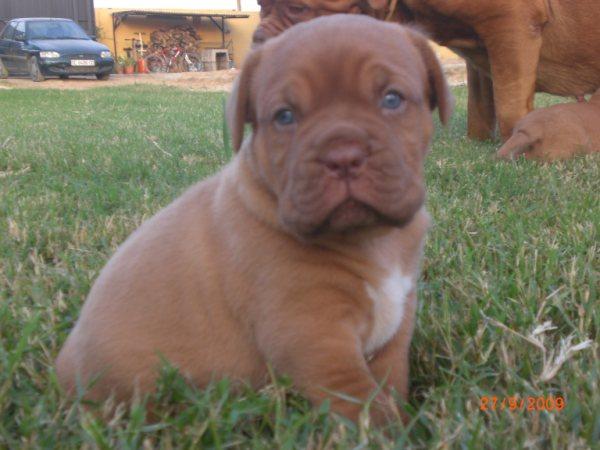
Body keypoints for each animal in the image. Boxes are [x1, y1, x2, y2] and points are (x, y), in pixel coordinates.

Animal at [55, 15, 452, 424]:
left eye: (392, 99)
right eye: (284, 116)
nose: (342, 156)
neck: (370, 238)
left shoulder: (395, 324)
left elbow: (391, 382)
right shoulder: (314, 335)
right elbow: (362, 402)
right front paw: (391, 431)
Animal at [254, 0, 600, 141]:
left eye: (298, 7)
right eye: (259, 4)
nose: (257, 38)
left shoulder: (510, 24)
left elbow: (510, 100)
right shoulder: (480, 51)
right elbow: (480, 103)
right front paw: (477, 143)